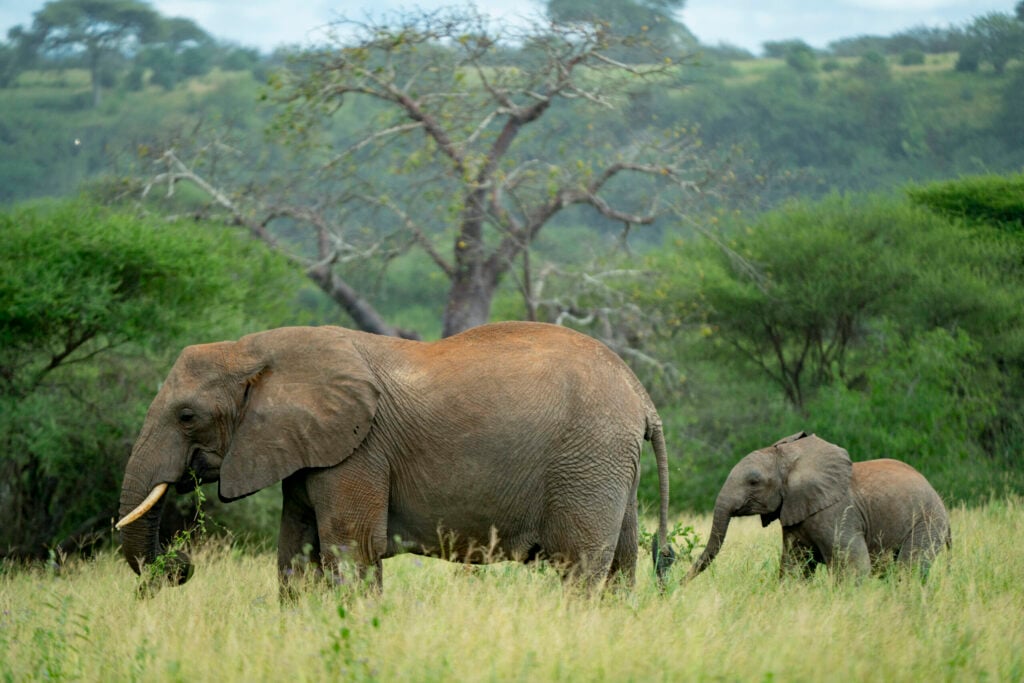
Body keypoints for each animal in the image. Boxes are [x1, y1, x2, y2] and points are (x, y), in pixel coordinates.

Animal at [116, 321, 676, 594]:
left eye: (186, 416)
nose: (181, 566)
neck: (252, 350)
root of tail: (641, 394)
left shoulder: (359, 449)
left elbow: (353, 550)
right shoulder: (307, 448)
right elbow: (294, 554)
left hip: (588, 458)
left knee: (578, 566)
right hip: (611, 464)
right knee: (621, 566)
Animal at [686, 432, 950, 581]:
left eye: (754, 482)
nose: (680, 585)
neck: (792, 460)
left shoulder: (836, 515)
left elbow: (854, 567)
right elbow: (793, 568)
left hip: (927, 523)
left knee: (908, 570)